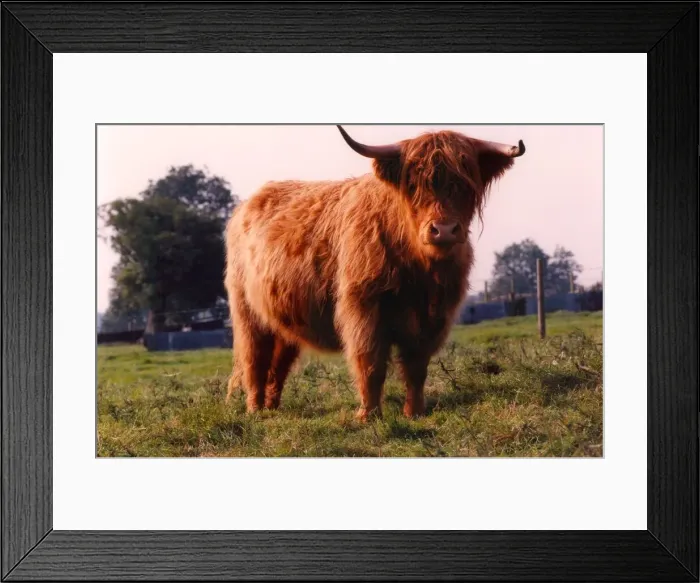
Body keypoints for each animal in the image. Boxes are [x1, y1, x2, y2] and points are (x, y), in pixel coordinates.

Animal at [224, 125, 525, 420]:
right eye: (413, 184)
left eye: (464, 182)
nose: (444, 230)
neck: (419, 270)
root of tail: (247, 204)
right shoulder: (363, 307)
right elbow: (370, 363)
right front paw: (368, 415)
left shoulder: (434, 316)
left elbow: (417, 367)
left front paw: (415, 412)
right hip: (247, 313)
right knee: (254, 359)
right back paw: (255, 410)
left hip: (284, 318)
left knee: (278, 364)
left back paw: (272, 408)